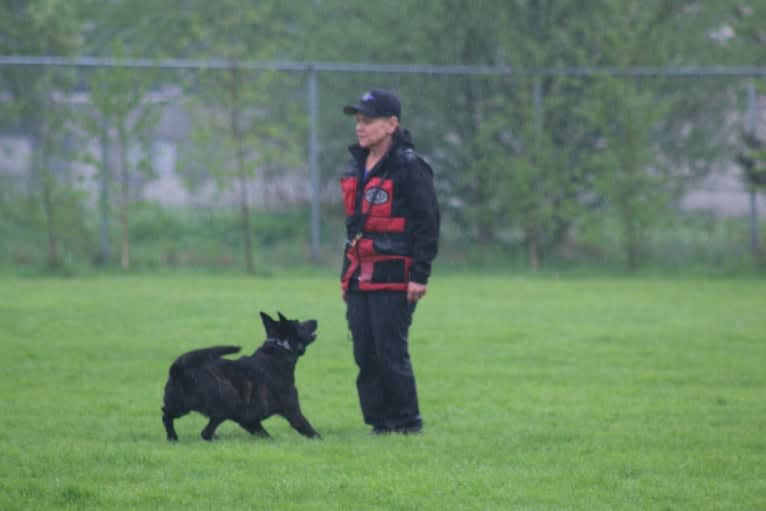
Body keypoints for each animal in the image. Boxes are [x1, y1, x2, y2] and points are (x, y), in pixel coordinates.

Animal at [160, 310, 320, 442]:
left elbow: (263, 433)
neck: (280, 347)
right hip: (226, 402)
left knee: (167, 416)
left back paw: (172, 437)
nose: (315, 320)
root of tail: (179, 367)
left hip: (179, 407)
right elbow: (309, 430)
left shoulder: (249, 420)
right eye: (299, 323)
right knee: (205, 432)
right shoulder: (292, 411)